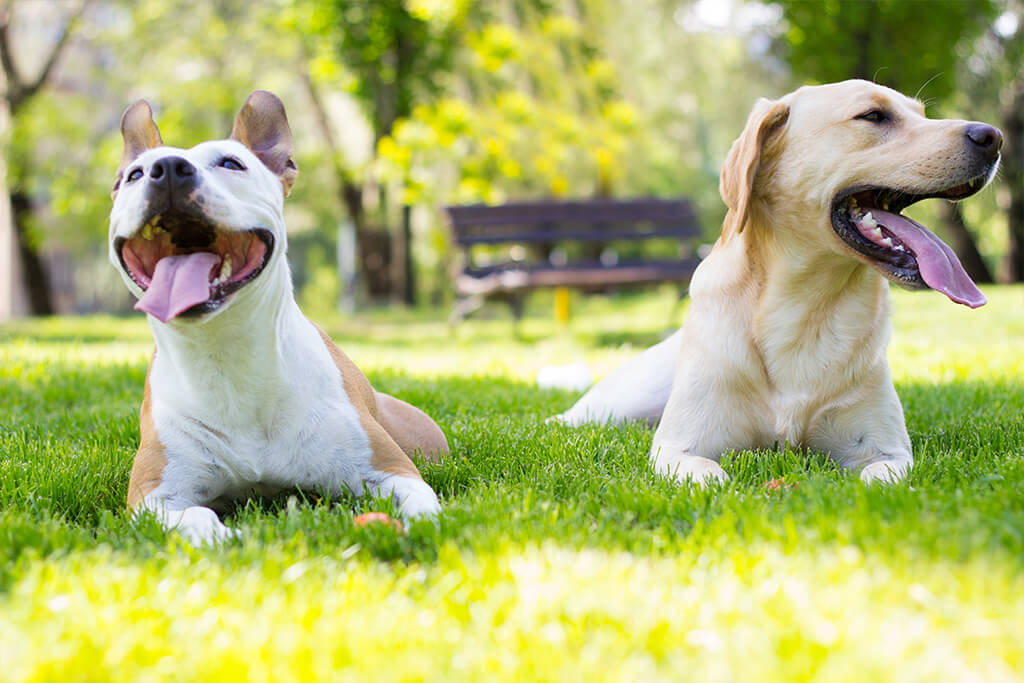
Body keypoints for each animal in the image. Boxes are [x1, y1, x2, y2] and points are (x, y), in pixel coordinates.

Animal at [109, 90, 448, 544]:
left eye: (231, 163)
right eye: (135, 174)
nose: (167, 171)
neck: (225, 351)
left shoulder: (391, 471)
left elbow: (421, 505)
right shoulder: (155, 496)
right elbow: (197, 517)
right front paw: (229, 537)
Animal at [552, 80, 999, 485]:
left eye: (922, 114)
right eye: (873, 116)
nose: (993, 137)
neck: (804, 308)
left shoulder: (885, 450)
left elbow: (880, 478)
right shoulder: (679, 447)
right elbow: (711, 475)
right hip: (621, 402)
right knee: (568, 418)